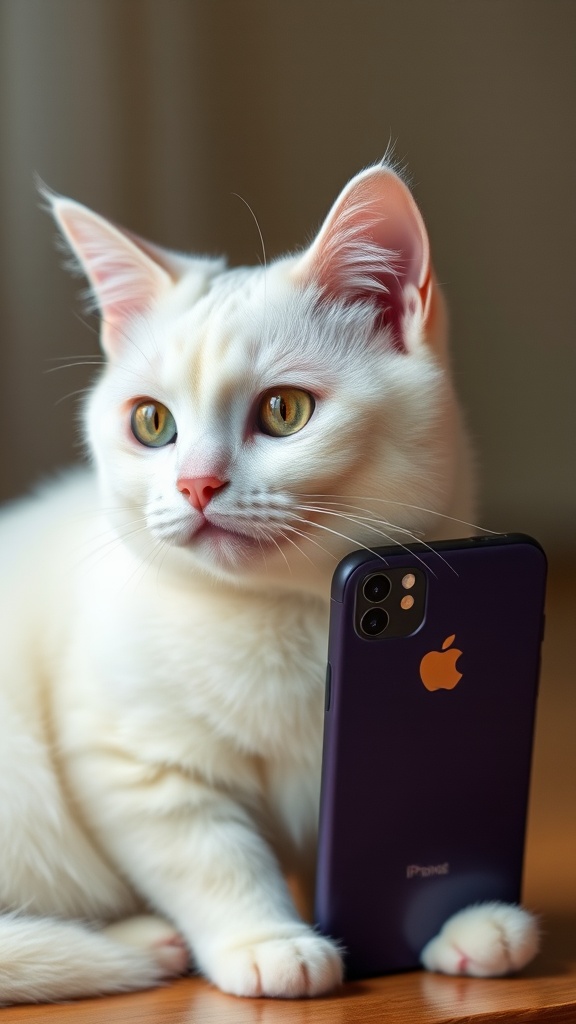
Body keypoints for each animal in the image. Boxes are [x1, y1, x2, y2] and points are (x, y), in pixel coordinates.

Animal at [0, 161, 532, 999]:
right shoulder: (132, 758)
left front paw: (463, 919)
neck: (285, 616)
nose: (195, 484)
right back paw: (135, 942)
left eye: (285, 410)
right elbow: (211, 857)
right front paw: (268, 940)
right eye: (150, 423)